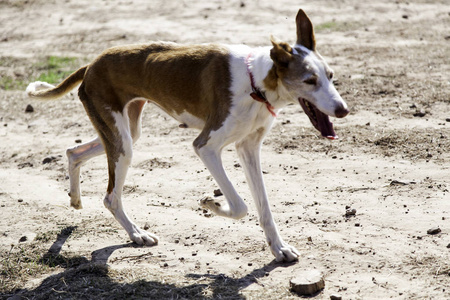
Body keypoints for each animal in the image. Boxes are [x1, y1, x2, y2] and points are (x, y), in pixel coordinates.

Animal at [26, 9, 350, 262]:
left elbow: (263, 208)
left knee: (73, 152)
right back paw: (137, 234)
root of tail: (91, 64)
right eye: (310, 80)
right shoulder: (206, 146)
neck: (256, 83)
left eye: (331, 76)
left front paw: (279, 249)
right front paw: (212, 203)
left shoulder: (248, 148)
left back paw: (75, 199)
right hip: (123, 145)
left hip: (126, 133)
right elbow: (240, 206)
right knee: (110, 198)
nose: (343, 110)